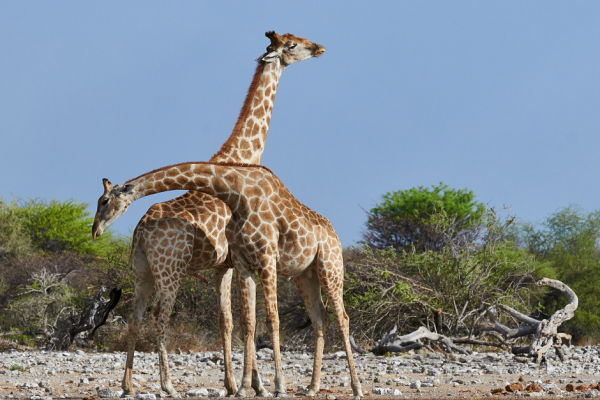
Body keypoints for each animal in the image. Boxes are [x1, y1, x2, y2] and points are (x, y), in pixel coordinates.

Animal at [93, 161, 364, 398]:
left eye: (104, 200)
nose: (96, 230)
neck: (236, 194)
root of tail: (334, 233)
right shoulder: (244, 264)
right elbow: (248, 321)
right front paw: (246, 387)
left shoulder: (266, 259)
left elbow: (271, 319)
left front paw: (277, 386)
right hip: (305, 276)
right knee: (321, 319)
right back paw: (312, 388)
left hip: (330, 266)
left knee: (342, 318)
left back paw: (356, 388)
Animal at [97, 31, 324, 396]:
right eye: (292, 45)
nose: (318, 48)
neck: (239, 157)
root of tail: (141, 231)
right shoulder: (232, 263)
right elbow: (239, 321)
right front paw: (255, 384)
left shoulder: (222, 266)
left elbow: (229, 321)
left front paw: (239, 383)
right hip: (170, 270)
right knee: (161, 314)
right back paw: (167, 384)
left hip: (141, 270)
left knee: (135, 315)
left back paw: (128, 384)